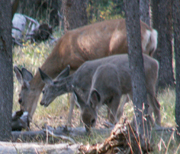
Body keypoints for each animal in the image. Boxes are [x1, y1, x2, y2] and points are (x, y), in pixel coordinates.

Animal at [14, 18, 158, 124]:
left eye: (20, 99)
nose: (25, 119)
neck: (60, 55)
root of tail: (151, 31)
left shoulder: (76, 64)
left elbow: (73, 97)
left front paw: (70, 124)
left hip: (124, 50)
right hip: (149, 52)